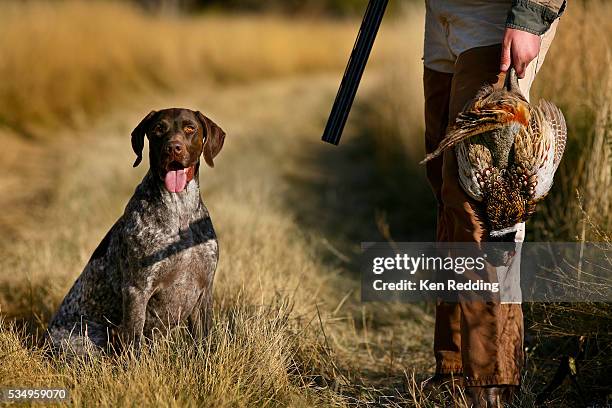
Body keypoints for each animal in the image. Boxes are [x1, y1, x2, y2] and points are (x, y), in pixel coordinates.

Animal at [47, 107, 225, 354]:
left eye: (190, 128)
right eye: (159, 129)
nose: (173, 148)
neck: (180, 210)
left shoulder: (204, 289)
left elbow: (204, 342)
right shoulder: (137, 290)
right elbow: (134, 345)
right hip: (91, 340)